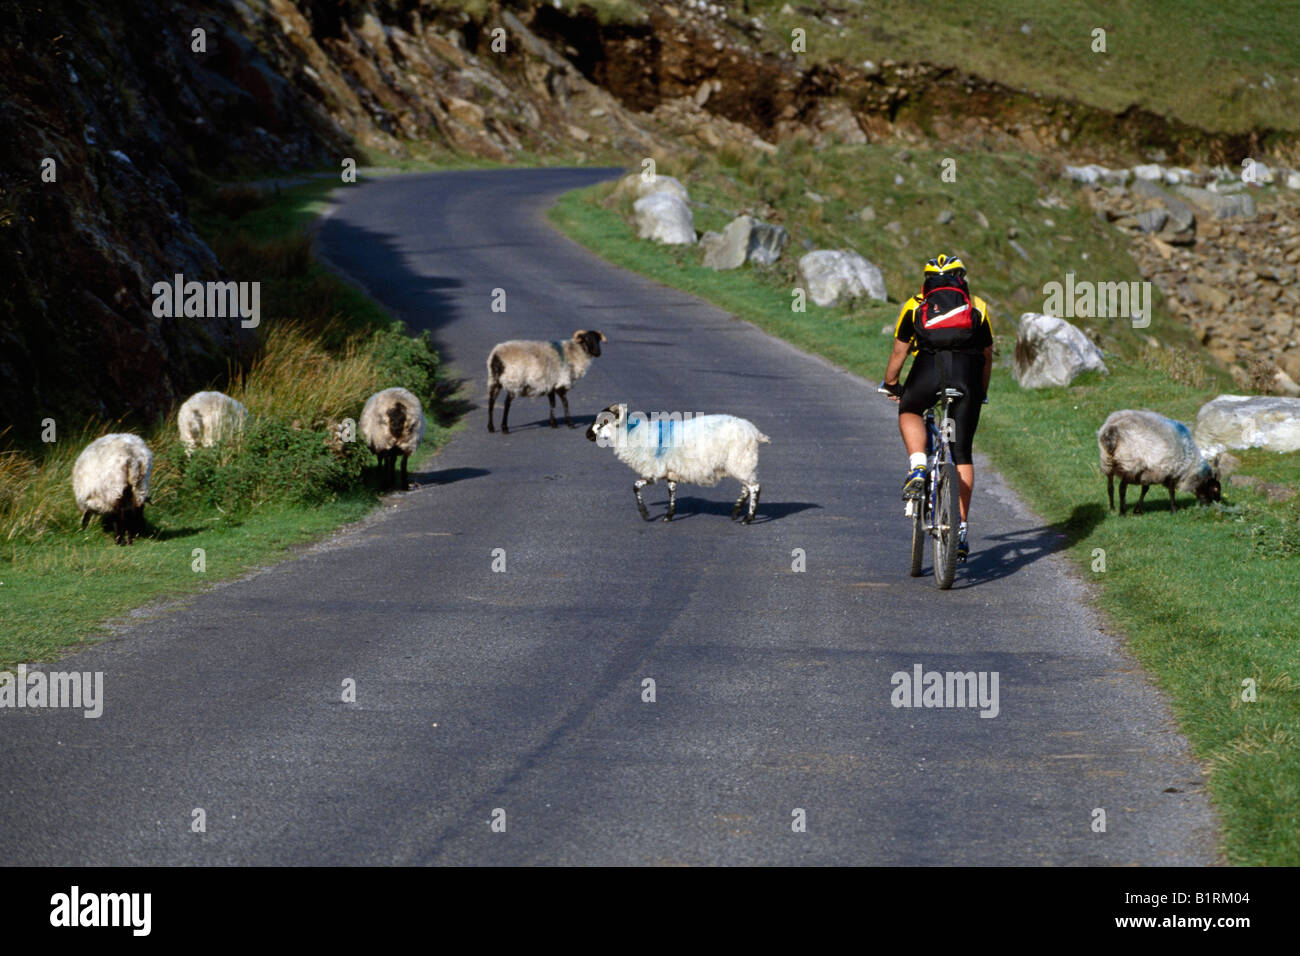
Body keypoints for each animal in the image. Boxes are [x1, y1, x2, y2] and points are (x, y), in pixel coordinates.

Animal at [585, 403, 764, 522]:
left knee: (755, 488)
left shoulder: (653, 472)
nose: (587, 435)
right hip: (742, 464)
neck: (632, 434)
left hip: (741, 463)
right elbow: (671, 491)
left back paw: (748, 518)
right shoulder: (669, 471)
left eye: (604, 421)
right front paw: (669, 515)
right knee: (746, 488)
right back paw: (736, 512)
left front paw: (645, 513)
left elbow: (636, 487)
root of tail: (755, 433)